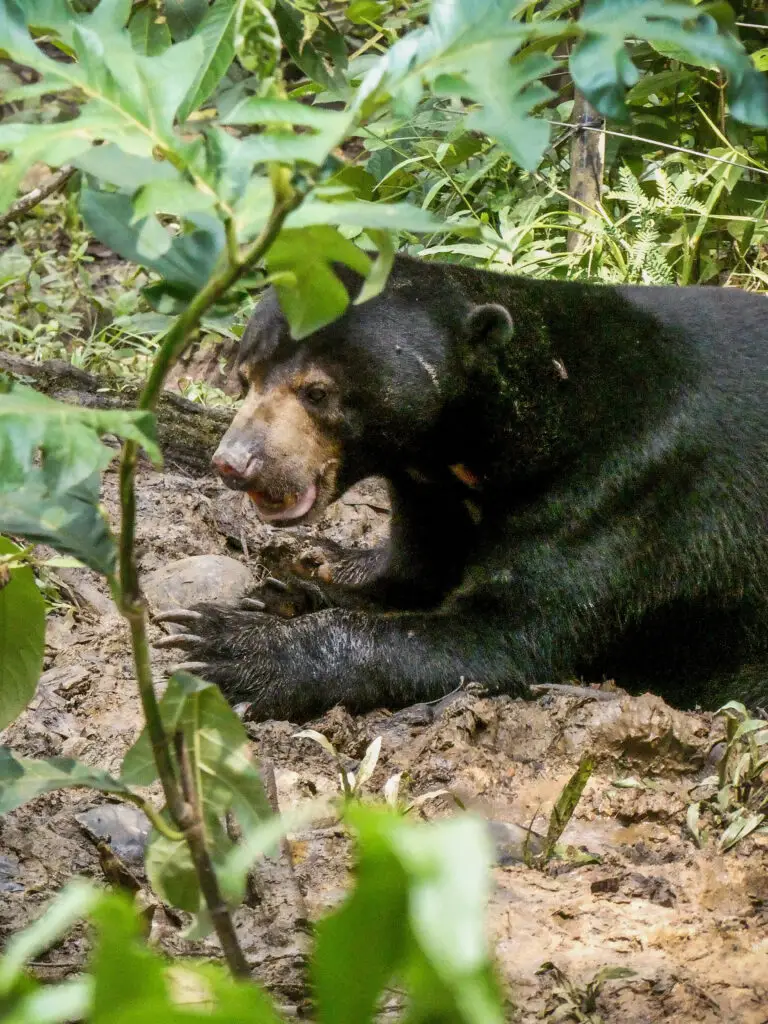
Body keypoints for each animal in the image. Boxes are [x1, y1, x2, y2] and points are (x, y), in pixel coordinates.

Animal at [157, 256, 768, 720]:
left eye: (317, 392)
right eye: (246, 376)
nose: (234, 463)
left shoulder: (626, 487)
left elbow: (506, 636)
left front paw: (227, 648)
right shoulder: (431, 489)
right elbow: (418, 565)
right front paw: (293, 583)